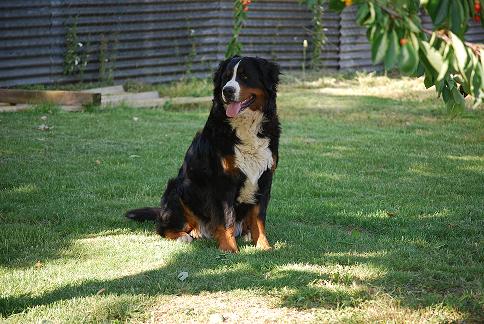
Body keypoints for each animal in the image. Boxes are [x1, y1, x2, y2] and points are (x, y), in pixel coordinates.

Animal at [125, 56, 280, 253]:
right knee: (163, 227)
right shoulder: (223, 182)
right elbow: (226, 219)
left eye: (245, 76)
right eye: (226, 77)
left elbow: (259, 220)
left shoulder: (264, 179)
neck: (246, 127)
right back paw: (183, 236)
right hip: (177, 190)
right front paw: (229, 249)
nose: (227, 91)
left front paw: (263, 245)